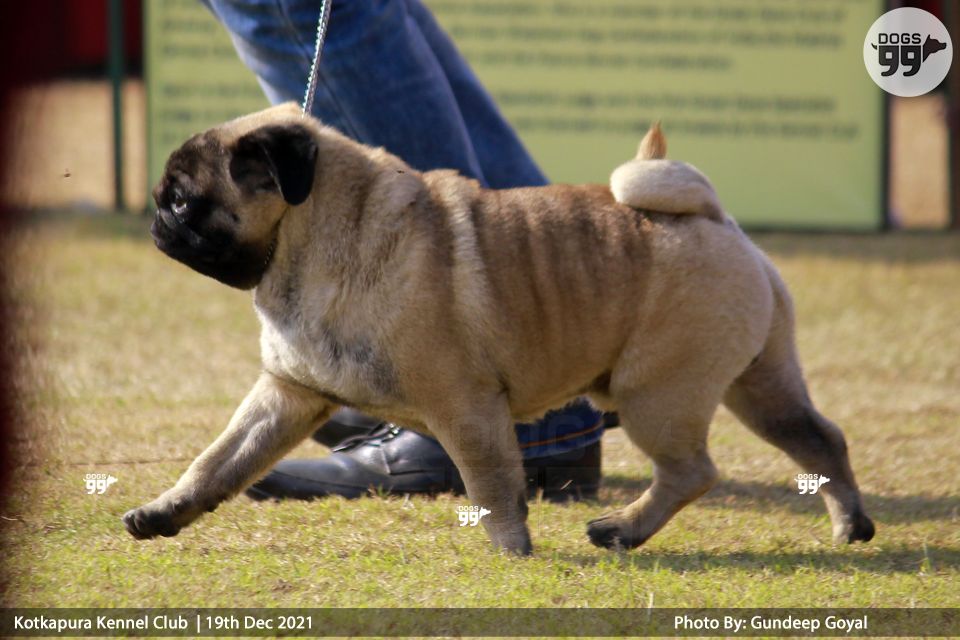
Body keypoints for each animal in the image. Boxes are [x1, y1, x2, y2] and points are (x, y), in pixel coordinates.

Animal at [125, 102, 875, 554]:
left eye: (186, 201)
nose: (156, 219)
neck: (312, 246)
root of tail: (710, 216)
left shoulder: (464, 406)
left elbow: (490, 485)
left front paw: (512, 551)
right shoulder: (285, 395)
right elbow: (218, 461)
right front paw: (164, 513)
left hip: (656, 395)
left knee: (692, 471)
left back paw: (621, 530)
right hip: (760, 384)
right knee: (818, 439)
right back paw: (850, 524)